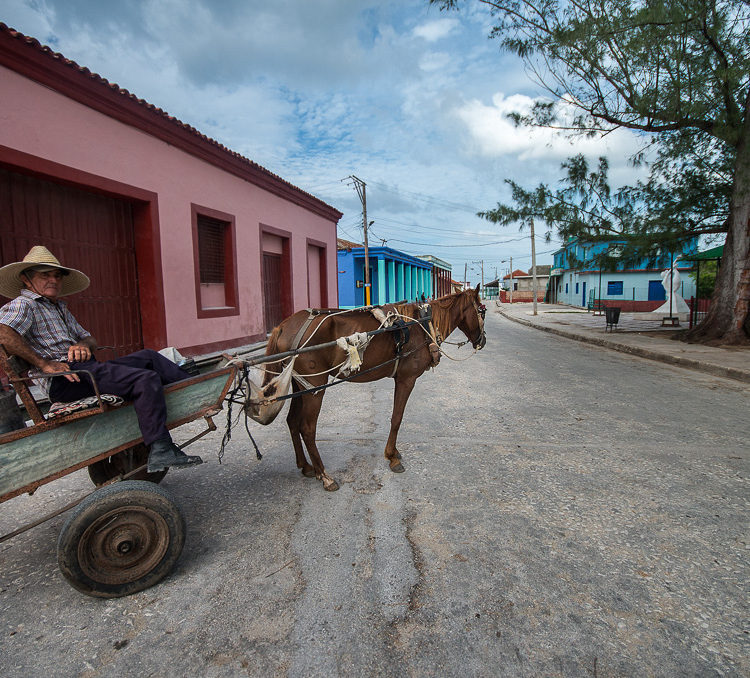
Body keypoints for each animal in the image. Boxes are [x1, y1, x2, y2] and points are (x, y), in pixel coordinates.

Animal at [258, 286, 484, 488]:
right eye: (482, 310)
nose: (482, 341)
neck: (423, 324)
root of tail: (283, 326)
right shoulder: (406, 379)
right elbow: (397, 418)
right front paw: (392, 457)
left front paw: (394, 453)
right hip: (315, 386)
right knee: (307, 428)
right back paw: (324, 475)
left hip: (300, 384)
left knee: (292, 421)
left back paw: (306, 466)